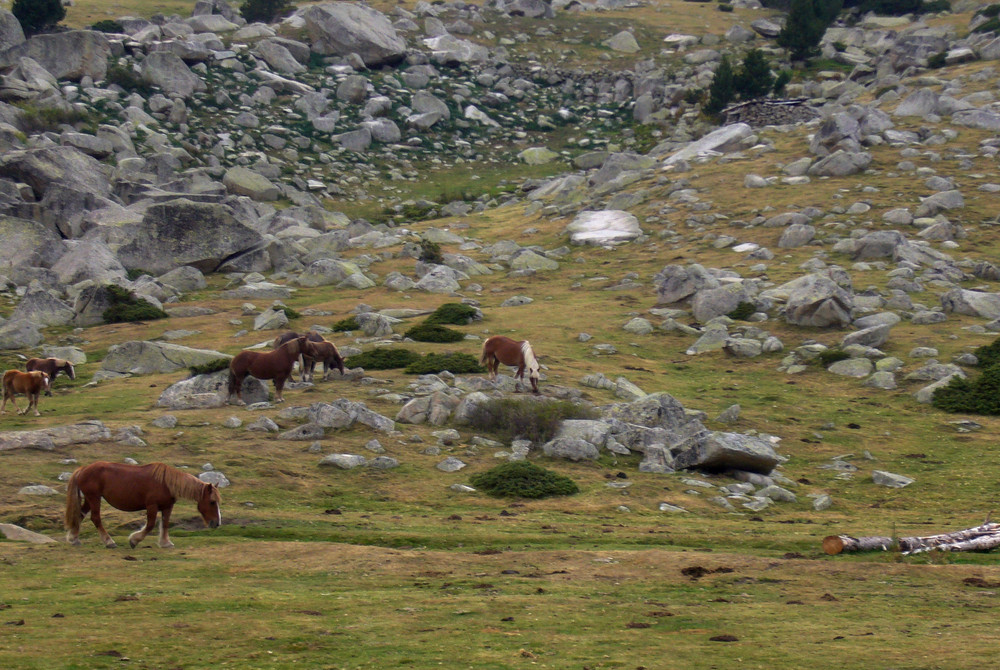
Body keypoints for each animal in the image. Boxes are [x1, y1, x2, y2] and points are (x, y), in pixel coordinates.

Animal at [66, 462, 223, 552]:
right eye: (212, 502)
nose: (217, 523)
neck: (166, 483)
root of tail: (82, 469)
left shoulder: (167, 507)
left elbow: (165, 524)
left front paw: (165, 543)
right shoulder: (152, 506)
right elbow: (150, 525)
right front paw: (134, 540)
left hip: (90, 499)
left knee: (80, 515)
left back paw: (74, 538)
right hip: (94, 498)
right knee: (95, 518)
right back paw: (109, 541)